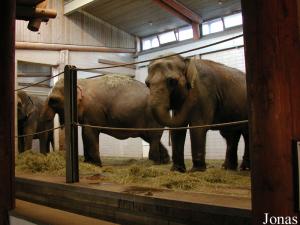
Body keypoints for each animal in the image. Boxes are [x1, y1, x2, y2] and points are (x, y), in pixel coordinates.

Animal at [42, 74, 170, 166]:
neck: (80, 81)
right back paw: (164, 161)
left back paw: (153, 162)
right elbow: (85, 133)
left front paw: (96, 164)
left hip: (152, 116)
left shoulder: (93, 110)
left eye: (53, 100)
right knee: (150, 137)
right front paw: (88, 163)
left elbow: (88, 133)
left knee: (153, 137)